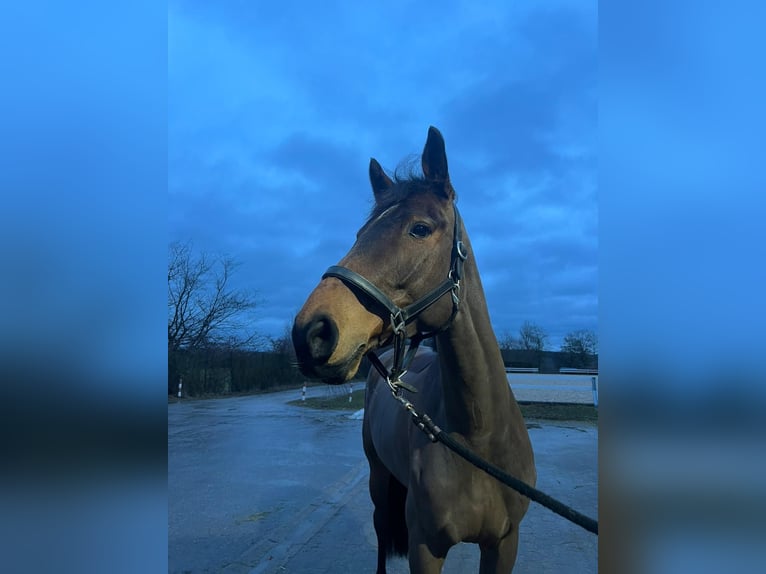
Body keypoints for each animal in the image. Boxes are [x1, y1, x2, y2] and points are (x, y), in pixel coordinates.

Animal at [292, 127, 536, 573]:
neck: (478, 435)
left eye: (419, 228)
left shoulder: (504, 545)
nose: (311, 331)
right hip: (377, 479)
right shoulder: (425, 547)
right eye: (359, 235)